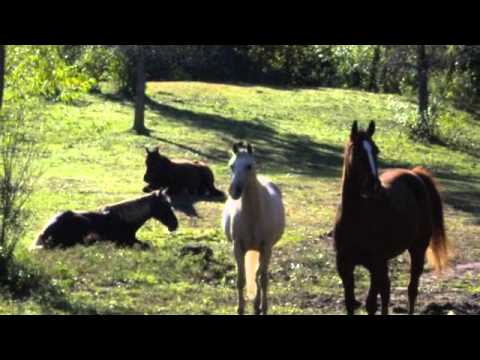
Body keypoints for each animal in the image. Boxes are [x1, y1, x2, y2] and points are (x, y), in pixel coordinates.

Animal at [222, 143, 284, 316]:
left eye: (249, 166)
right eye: (231, 165)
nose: (234, 191)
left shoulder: (267, 247)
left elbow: (261, 278)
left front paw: (262, 307)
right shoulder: (237, 247)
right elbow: (241, 279)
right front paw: (240, 308)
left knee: (261, 276)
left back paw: (259, 305)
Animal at [334, 121, 450, 316]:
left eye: (376, 151)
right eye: (357, 153)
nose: (374, 186)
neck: (356, 219)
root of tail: (415, 174)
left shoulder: (376, 265)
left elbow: (371, 304)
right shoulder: (345, 267)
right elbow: (350, 303)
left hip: (417, 249)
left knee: (412, 289)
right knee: (387, 290)